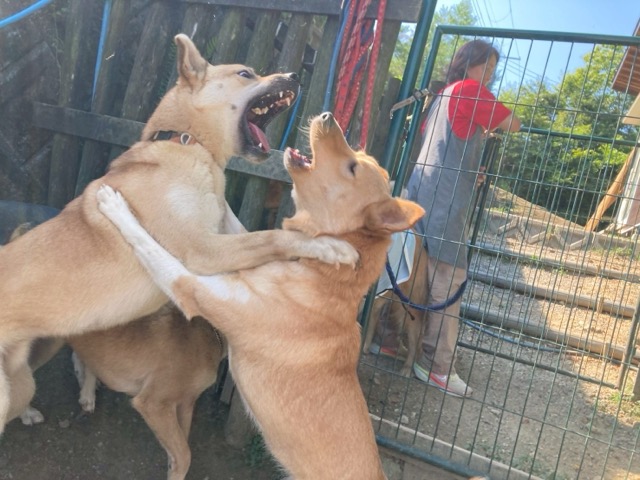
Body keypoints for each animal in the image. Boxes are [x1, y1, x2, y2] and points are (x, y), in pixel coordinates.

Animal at [0, 34, 359, 434]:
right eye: (245, 73)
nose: (296, 75)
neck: (186, 142)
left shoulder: (222, 231)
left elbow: (257, 229)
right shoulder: (202, 251)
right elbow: (273, 237)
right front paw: (331, 247)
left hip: (24, 375)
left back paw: (32, 412)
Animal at [96, 112, 426, 479]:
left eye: (352, 167)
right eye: (359, 157)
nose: (328, 116)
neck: (318, 276)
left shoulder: (192, 288)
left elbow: (153, 248)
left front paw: (116, 206)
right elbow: (241, 221)